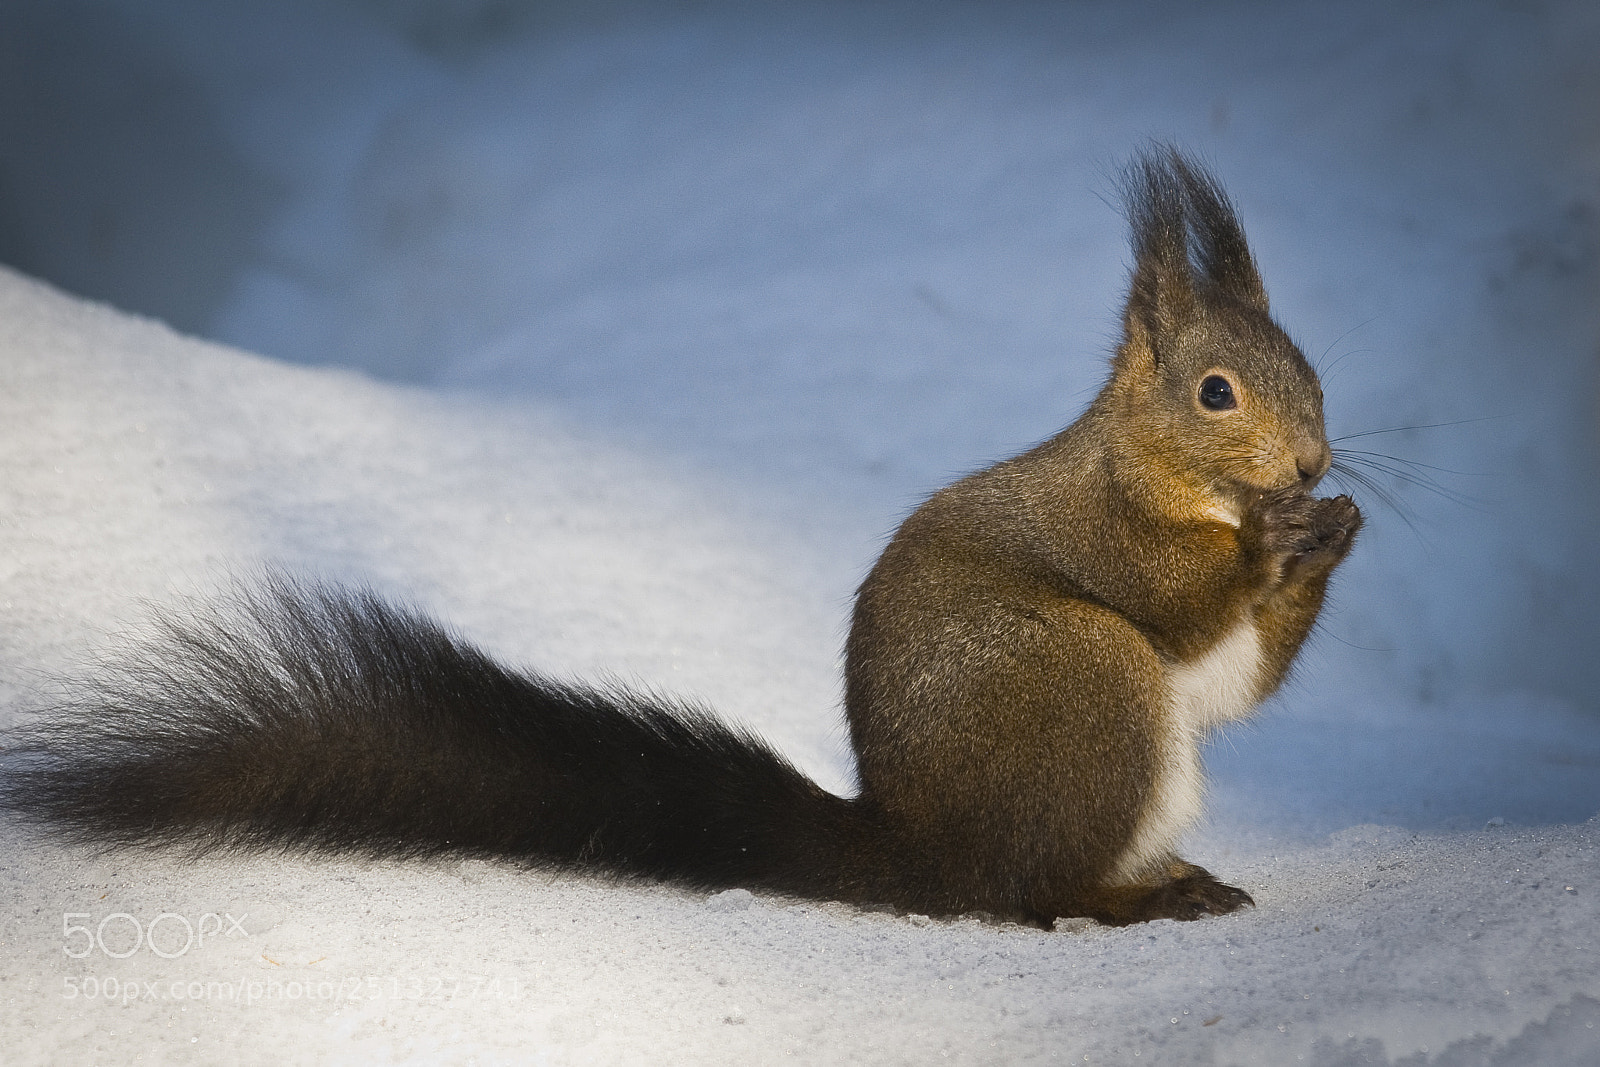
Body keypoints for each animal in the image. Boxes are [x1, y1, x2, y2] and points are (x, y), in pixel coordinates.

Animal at [0, 146, 1359, 927]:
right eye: (1217, 391)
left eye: (1311, 369)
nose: (1310, 464)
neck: (1173, 480)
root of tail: (921, 849)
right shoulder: (1109, 530)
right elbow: (1170, 597)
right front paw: (1275, 541)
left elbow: (1237, 676)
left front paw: (1333, 536)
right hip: (1084, 683)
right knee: (1029, 893)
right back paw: (1125, 899)